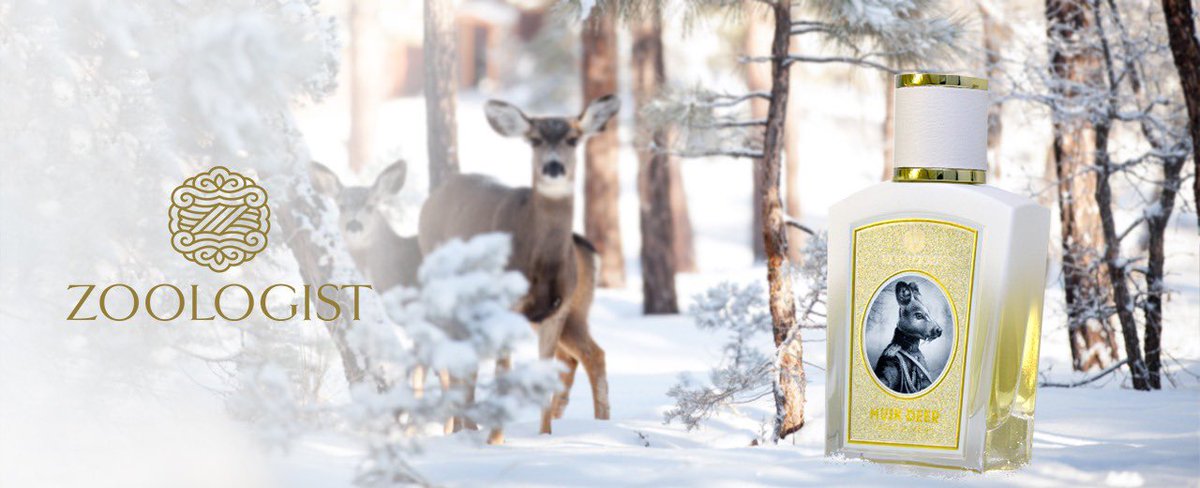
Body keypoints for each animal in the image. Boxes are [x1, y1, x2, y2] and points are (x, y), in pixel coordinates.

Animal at [418, 94, 618, 445]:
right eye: (534, 139)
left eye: (573, 138)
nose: (554, 167)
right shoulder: (506, 306)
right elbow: (502, 370)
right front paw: (496, 440)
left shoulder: (556, 310)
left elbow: (543, 371)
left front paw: (544, 434)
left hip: (573, 312)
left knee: (590, 354)